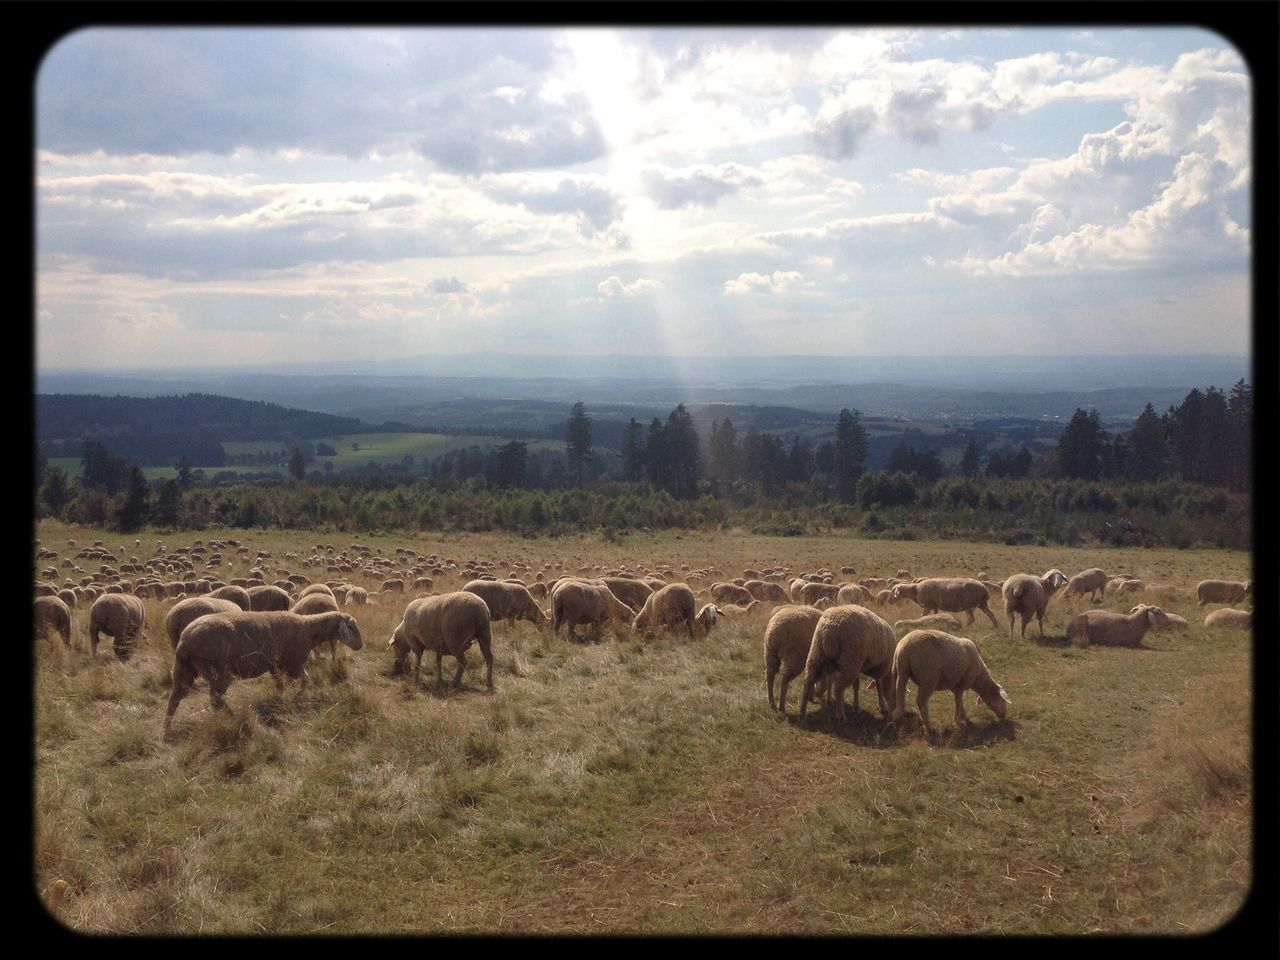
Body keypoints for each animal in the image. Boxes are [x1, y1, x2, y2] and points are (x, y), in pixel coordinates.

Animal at [163, 611, 366, 742]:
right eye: (350, 626)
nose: (360, 646)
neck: (309, 629)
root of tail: (185, 642)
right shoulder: (293, 662)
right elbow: (306, 681)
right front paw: (298, 697)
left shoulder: (276, 666)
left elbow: (281, 685)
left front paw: (280, 700)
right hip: (219, 670)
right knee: (215, 698)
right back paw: (232, 717)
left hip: (184, 669)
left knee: (175, 698)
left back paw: (167, 730)